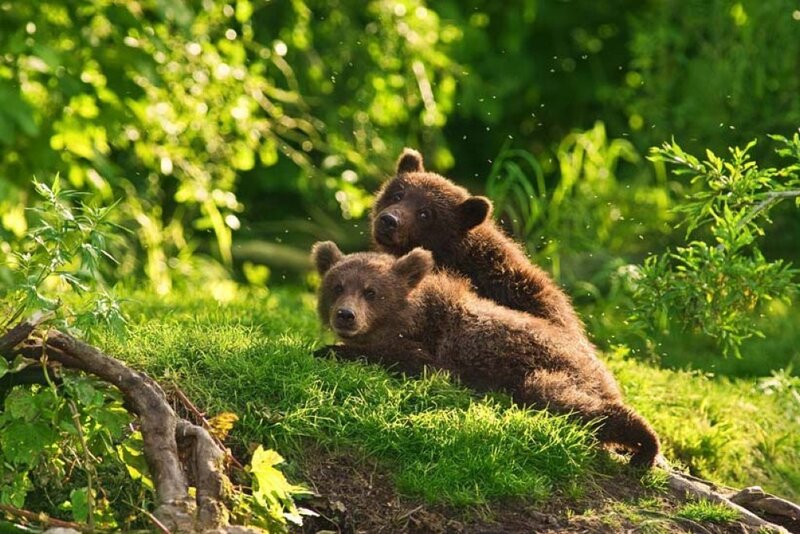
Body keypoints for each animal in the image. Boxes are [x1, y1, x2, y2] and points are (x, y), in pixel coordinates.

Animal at [311, 241, 661, 467]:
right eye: (337, 286)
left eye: (371, 291)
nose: (345, 315)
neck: (411, 317)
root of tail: (604, 373)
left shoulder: (434, 351)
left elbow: (405, 360)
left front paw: (328, 350)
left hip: (553, 370)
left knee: (566, 400)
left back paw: (644, 444)